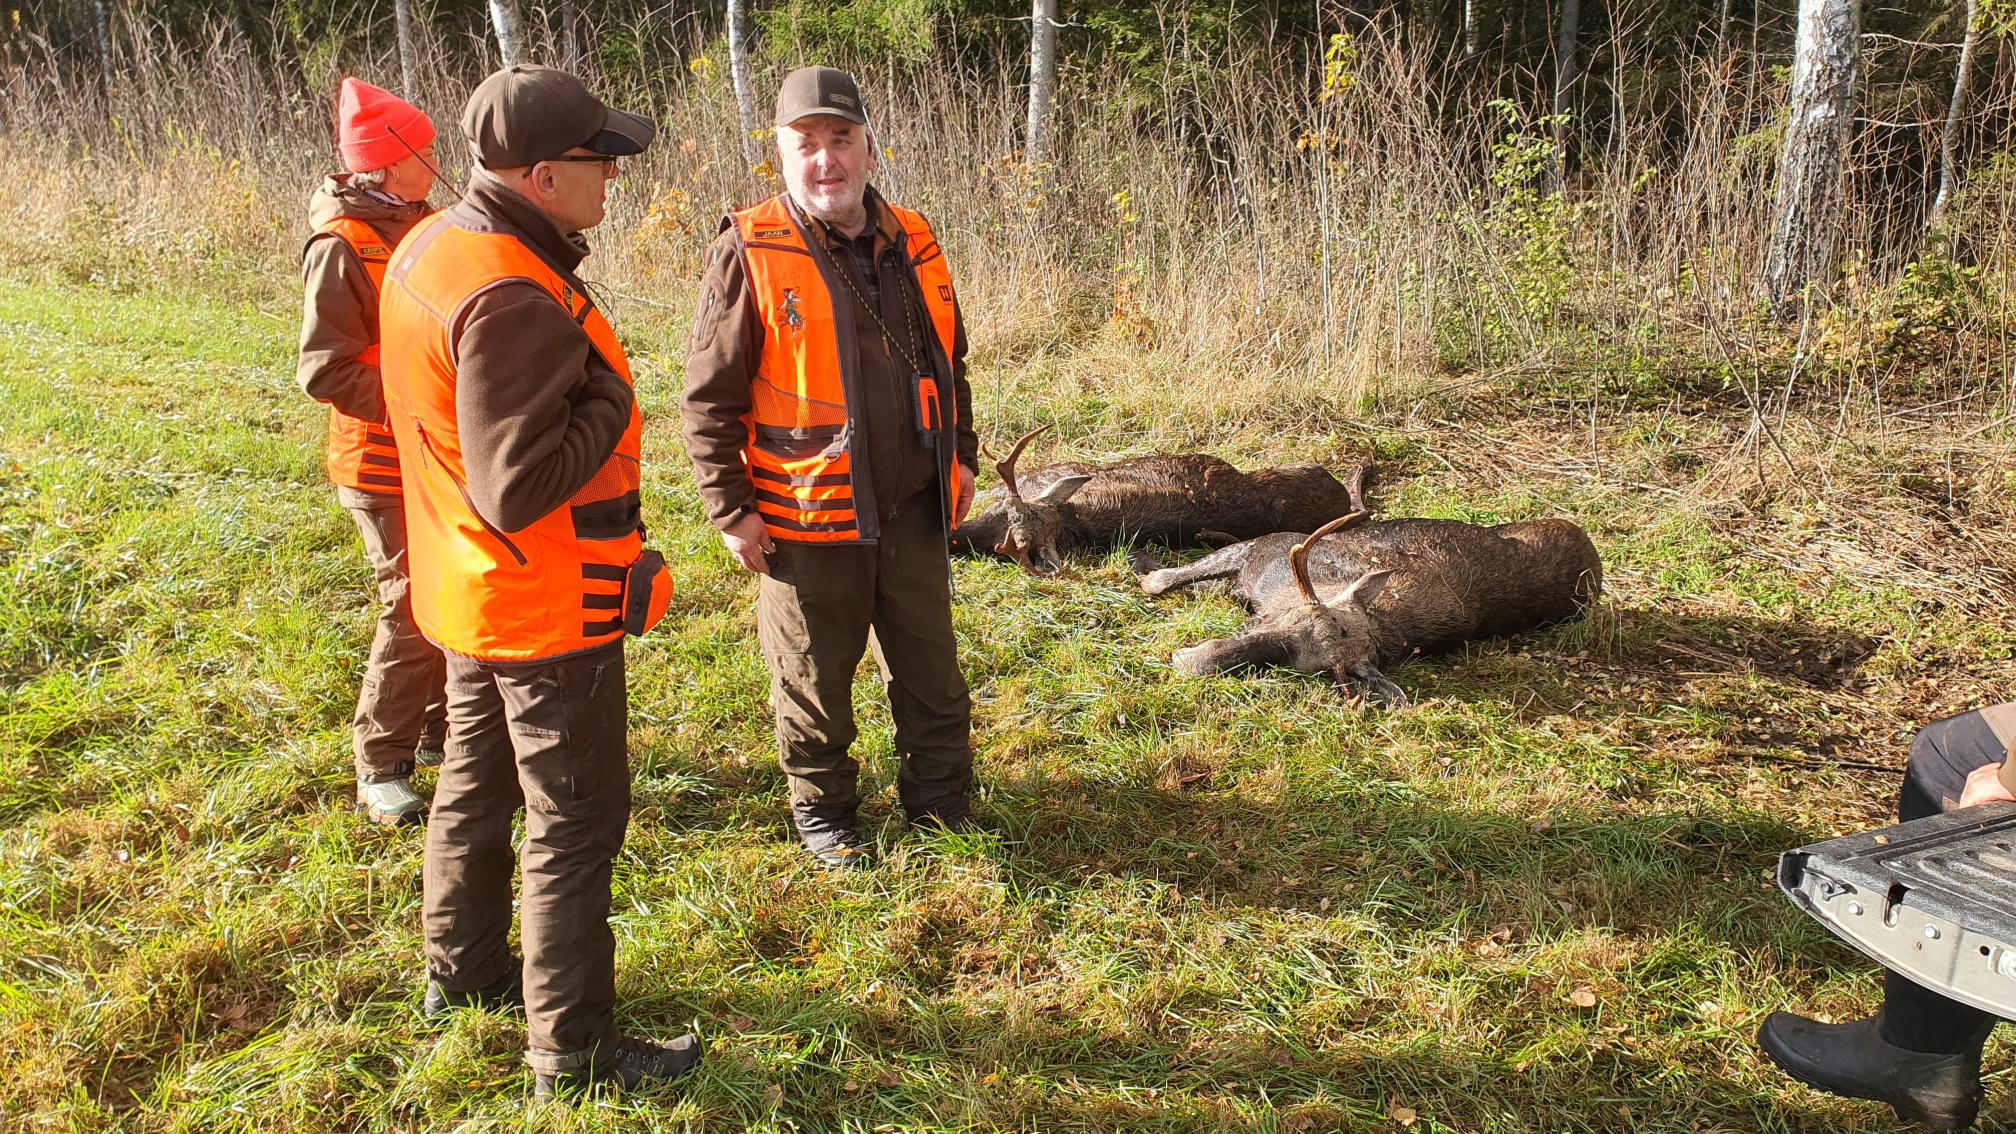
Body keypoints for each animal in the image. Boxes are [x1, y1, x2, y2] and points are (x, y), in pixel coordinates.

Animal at [1132, 511, 1603, 705]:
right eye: (1291, 619)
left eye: (1315, 669)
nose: (1191, 658)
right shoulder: (1261, 551)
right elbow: (1168, 579)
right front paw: (1143, 564)